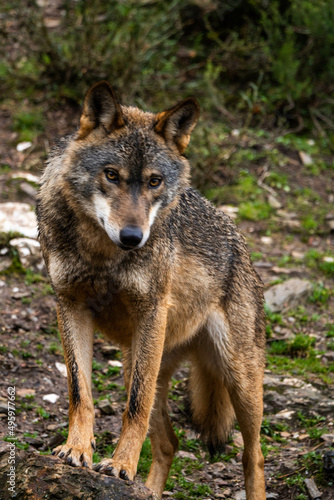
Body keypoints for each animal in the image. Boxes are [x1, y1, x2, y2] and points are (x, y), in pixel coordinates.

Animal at [36, 83, 266, 500]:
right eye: (111, 175)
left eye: (154, 181)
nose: (132, 237)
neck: (102, 254)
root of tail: (241, 246)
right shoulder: (69, 305)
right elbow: (80, 392)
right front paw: (77, 450)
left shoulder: (151, 310)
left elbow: (135, 409)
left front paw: (121, 465)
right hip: (138, 361)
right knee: (170, 444)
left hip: (238, 379)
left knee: (253, 456)